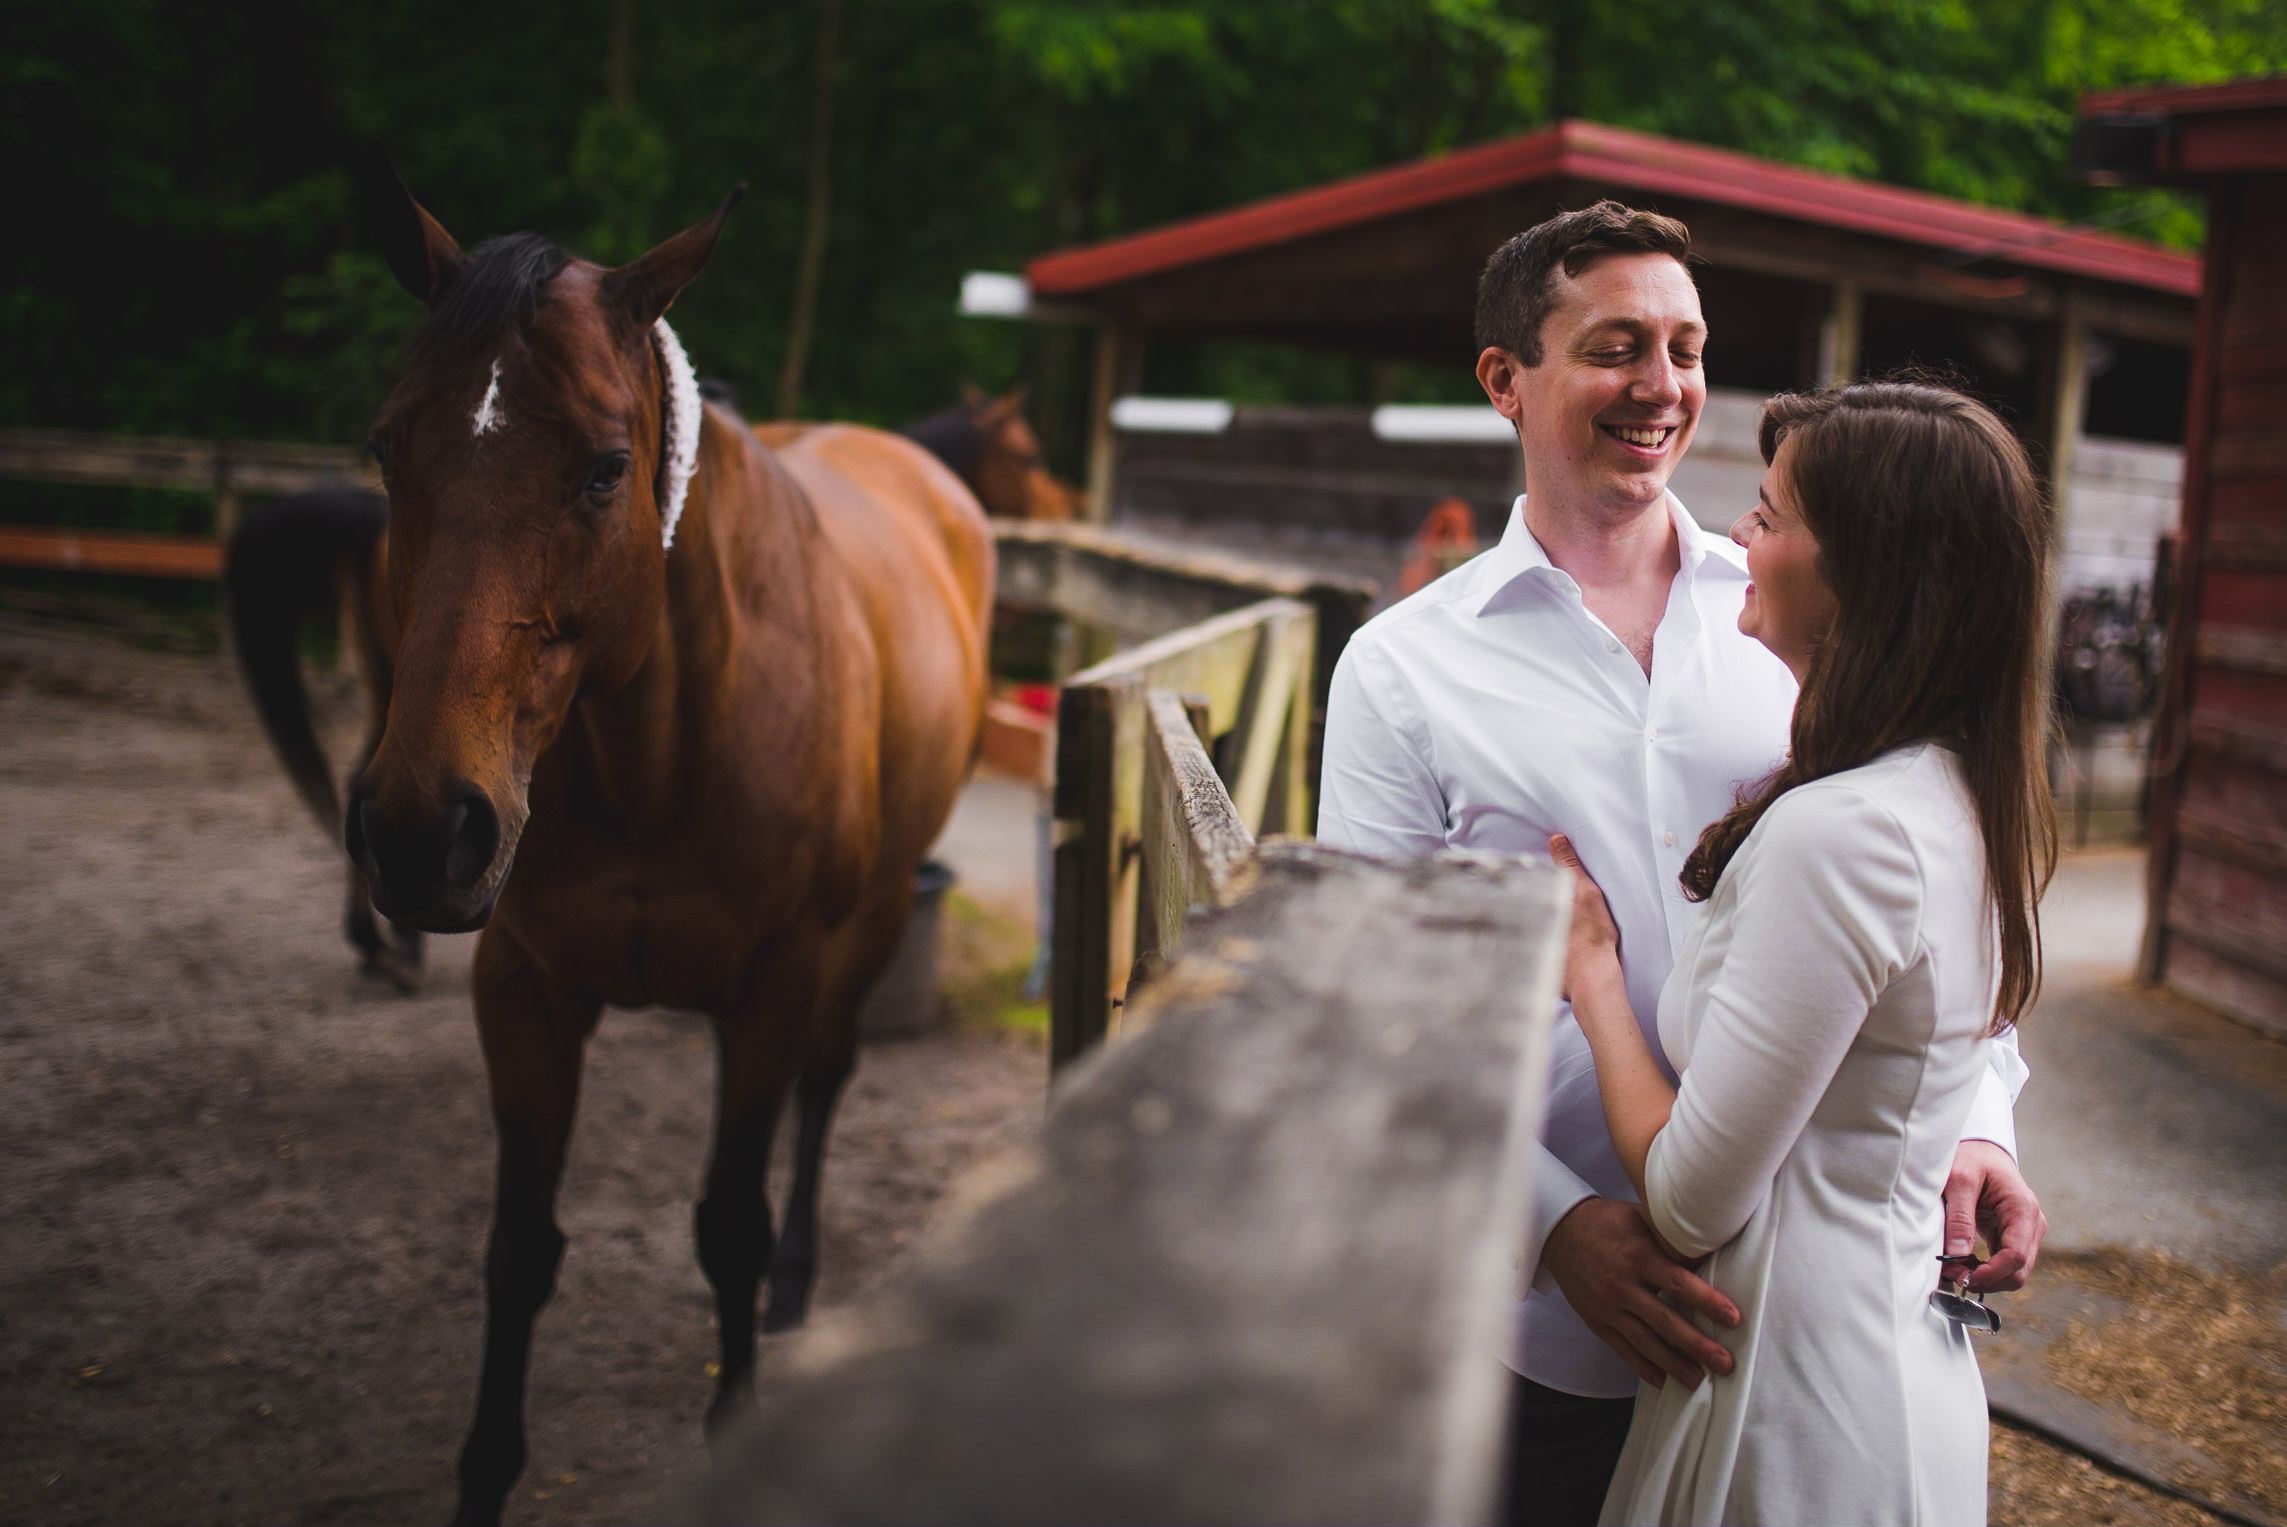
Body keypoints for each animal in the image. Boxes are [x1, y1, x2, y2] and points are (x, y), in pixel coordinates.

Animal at [320, 176, 992, 1517]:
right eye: (387, 446)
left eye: (605, 468)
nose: (423, 828)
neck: (660, 751)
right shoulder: (523, 991)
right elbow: (519, 1248)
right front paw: (485, 1473)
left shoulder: (779, 979)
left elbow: (729, 1221)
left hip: (873, 919)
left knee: (825, 1085)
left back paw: (795, 1281)